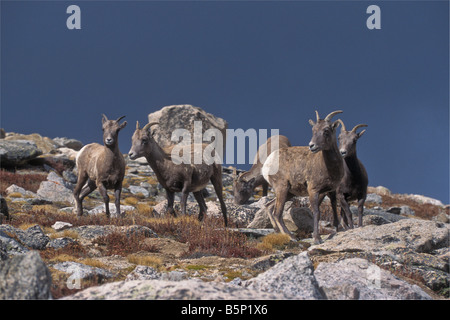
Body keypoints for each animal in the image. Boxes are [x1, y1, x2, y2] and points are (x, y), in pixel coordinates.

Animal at [262, 111, 342, 244]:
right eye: (313, 130)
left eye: (326, 130)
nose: (312, 146)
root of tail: (267, 163)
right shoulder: (313, 190)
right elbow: (316, 212)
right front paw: (317, 239)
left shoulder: (330, 191)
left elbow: (335, 210)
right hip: (282, 189)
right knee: (277, 213)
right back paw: (291, 237)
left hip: (289, 193)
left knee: (269, 207)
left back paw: (278, 232)